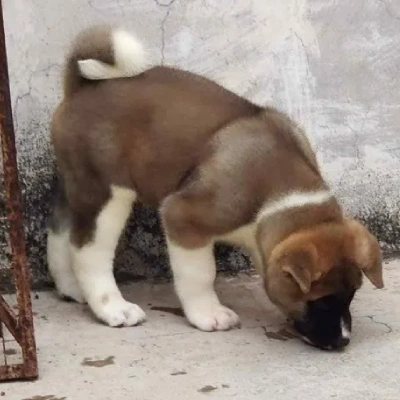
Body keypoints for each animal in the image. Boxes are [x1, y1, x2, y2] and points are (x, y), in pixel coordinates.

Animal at [47, 25, 384, 350]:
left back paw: (72, 289)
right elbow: (199, 274)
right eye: (321, 300)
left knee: (60, 233)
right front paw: (208, 314)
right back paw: (112, 308)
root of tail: (81, 86)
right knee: (88, 251)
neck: (274, 194)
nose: (342, 341)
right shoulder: (183, 216)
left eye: (351, 294)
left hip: (78, 186)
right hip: (107, 193)